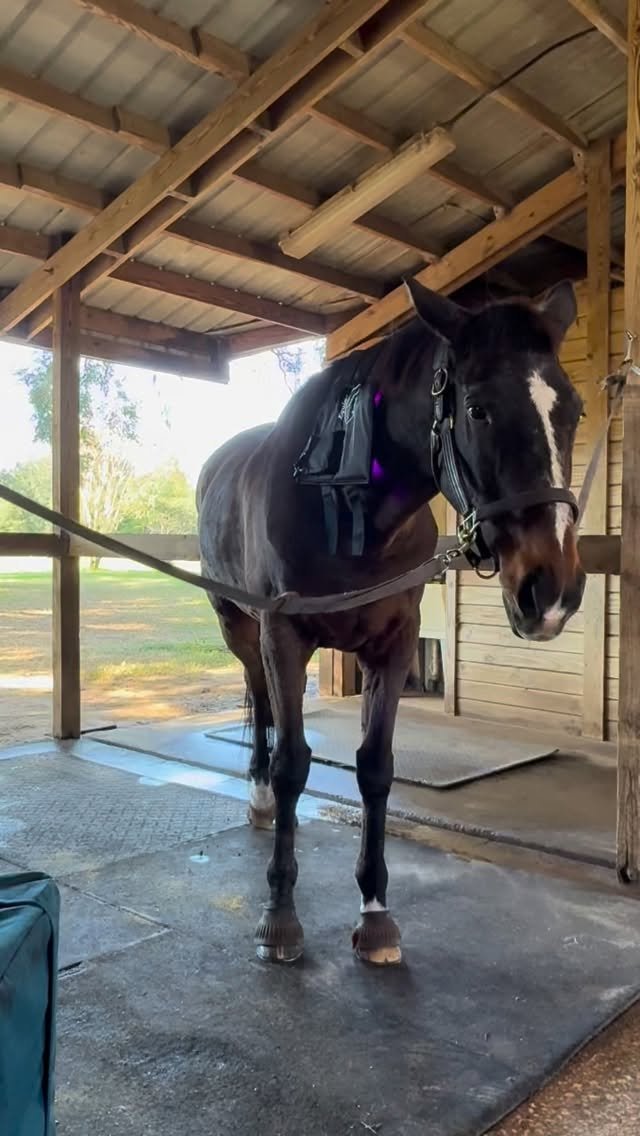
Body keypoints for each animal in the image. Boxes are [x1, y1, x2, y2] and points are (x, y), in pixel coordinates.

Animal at [196, 278, 585, 967]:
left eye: (574, 411)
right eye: (478, 410)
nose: (554, 592)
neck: (346, 504)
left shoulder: (396, 644)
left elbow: (376, 767)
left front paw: (375, 914)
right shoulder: (283, 635)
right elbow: (294, 764)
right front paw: (280, 916)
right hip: (239, 629)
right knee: (262, 704)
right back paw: (260, 796)